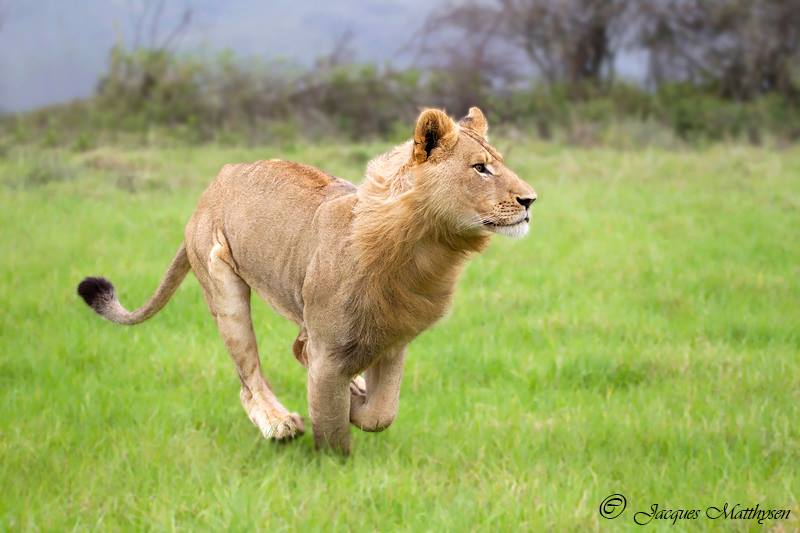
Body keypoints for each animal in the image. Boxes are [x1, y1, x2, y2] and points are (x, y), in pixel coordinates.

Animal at [76, 107, 536, 454]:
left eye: (500, 163)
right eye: (480, 168)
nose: (530, 200)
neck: (425, 249)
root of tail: (209, 191)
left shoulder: (393, 339)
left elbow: (381, 413)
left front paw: (357, 401)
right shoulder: (330, 347)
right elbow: (332, 433)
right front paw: (336, 464)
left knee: (294, 352)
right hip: (223, 286)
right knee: (248, 378)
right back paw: (280, 425)